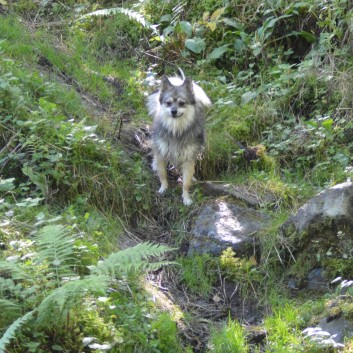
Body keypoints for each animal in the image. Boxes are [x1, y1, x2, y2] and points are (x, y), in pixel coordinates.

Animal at [146, 72, 210, 204]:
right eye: (168, 103)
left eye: (181, 103)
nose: (173, 111)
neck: (176, 129)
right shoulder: (162, 151)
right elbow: (162, 174)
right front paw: (163, 188)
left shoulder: (188, 157)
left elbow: (186, 182)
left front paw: (186, 197)